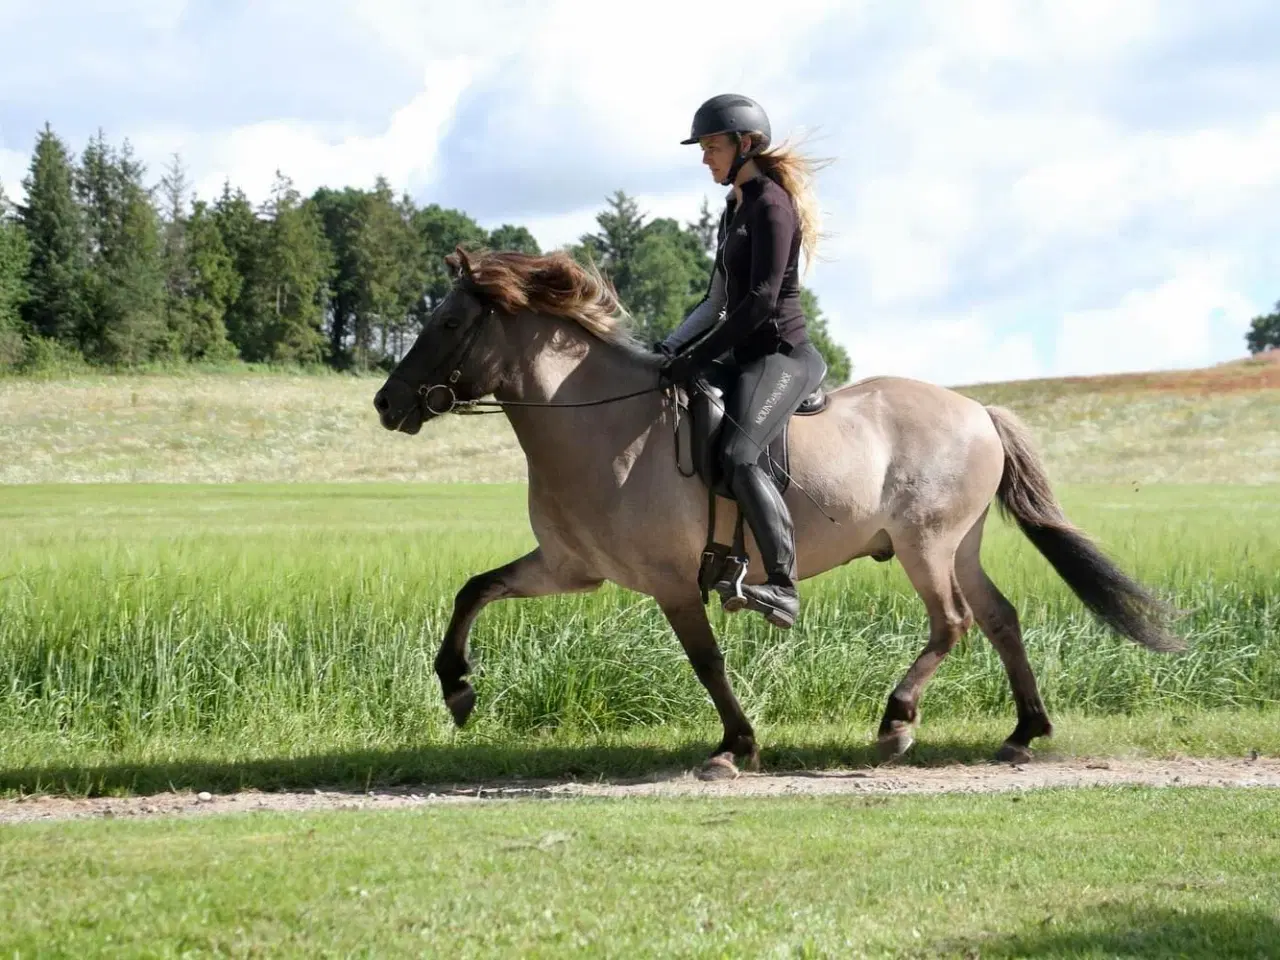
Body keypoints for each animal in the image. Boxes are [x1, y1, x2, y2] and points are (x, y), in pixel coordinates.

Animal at [371, 248, 1177, 783]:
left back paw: (896, 725)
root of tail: (978, 409)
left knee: (953, 622)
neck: (597, 422)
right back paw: (1021, 733)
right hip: (961, 545)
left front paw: (736, 747)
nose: (386, 403)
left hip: (926, 543)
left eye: (448, 321)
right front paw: (457, 688)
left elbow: (705, 661)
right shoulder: (569, 569)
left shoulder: (670, 581)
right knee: (1001, 618)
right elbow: (475, 589)